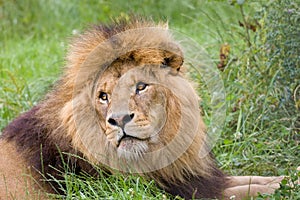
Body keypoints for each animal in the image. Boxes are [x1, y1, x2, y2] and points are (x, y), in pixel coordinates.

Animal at [0, 18, 284, 199]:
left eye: (141, 87)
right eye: (103, 97)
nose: (119, 119)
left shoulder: (189, 177)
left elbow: (238, 180)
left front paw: (280, 178)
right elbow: (238, 192)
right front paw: (276, 186)